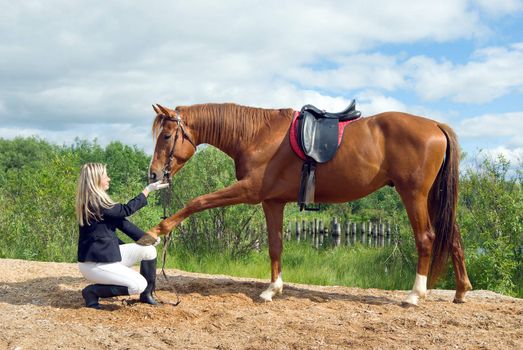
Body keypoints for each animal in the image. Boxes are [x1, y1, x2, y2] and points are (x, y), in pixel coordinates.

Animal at [145, 102, 472, 304]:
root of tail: (436, 125)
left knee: (426, 238)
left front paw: (157, 230)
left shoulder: (249, 190)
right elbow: (275, 245)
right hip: (433, 197)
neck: (258, 134)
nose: (154, 174)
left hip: (413, 194)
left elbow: (197, 201)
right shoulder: (272, 201)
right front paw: (272, 289)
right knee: (453, 237)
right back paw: (461, 291)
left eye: (166, 136)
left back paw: (415, 294)